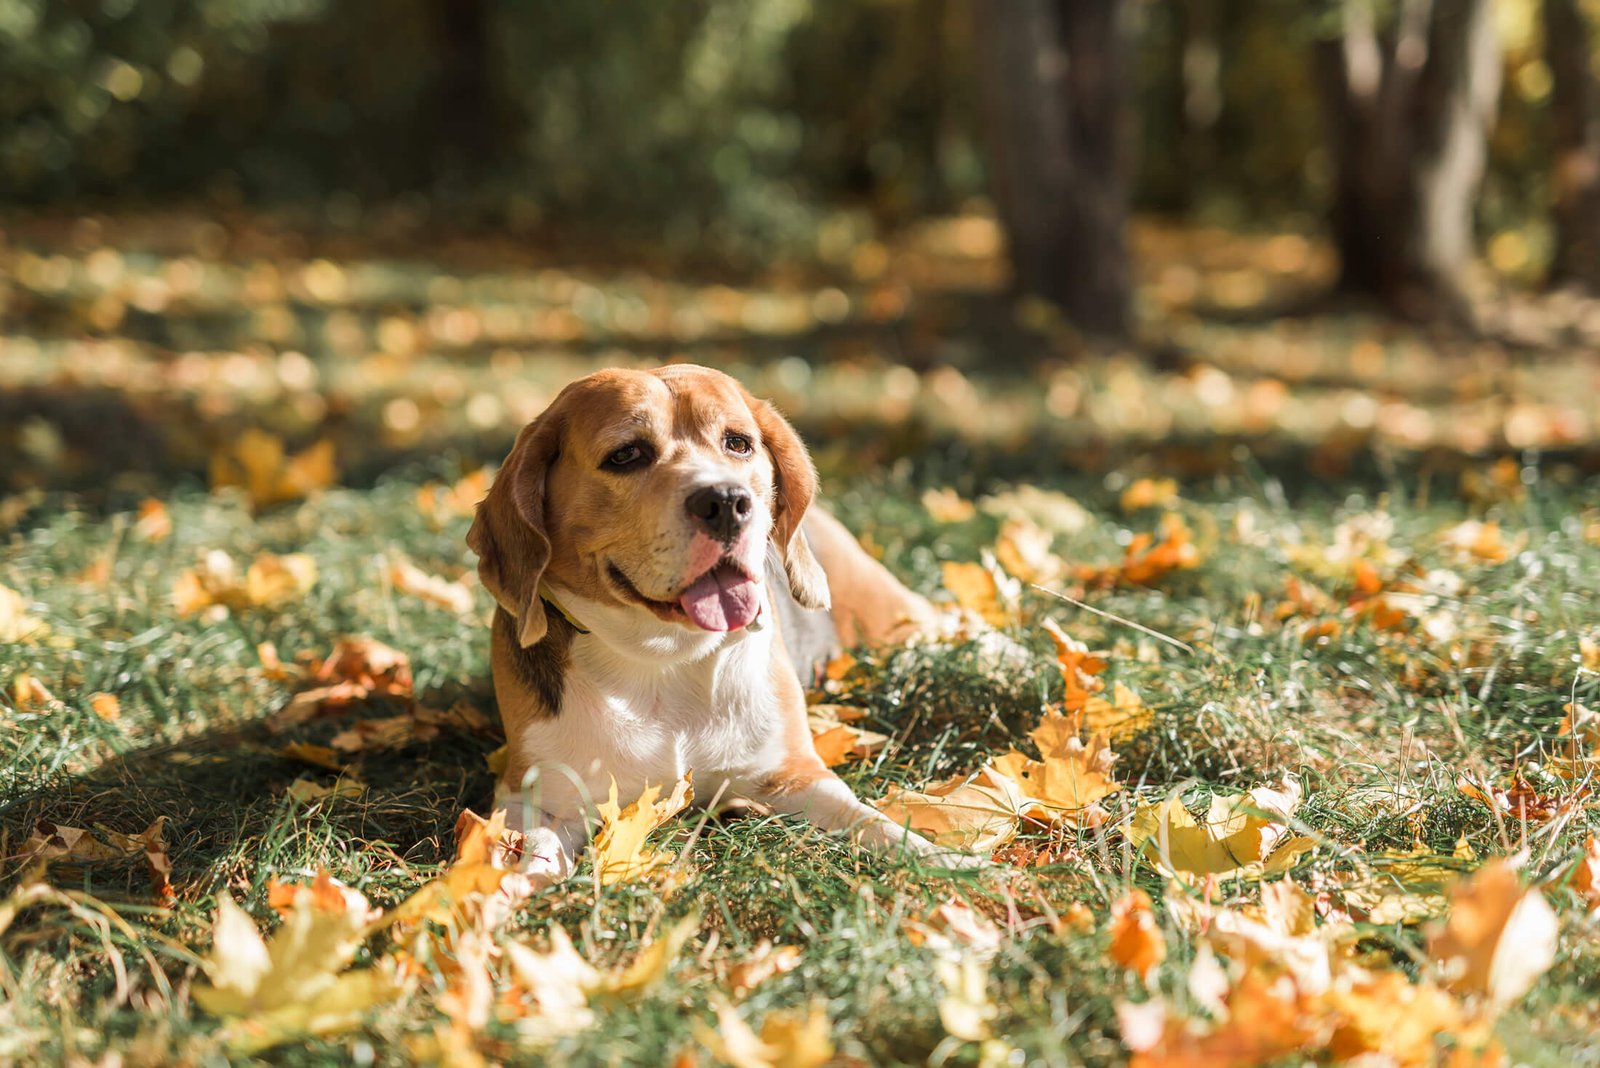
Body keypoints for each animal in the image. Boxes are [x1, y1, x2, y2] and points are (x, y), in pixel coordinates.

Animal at [467, 362, 972, 882]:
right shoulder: (535, 797)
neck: (664, 657)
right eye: (626, 454)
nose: (727, 501)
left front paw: (950, 862)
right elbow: (533, 854)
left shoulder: (799, 776)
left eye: (738, 443)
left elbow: (874, 823)